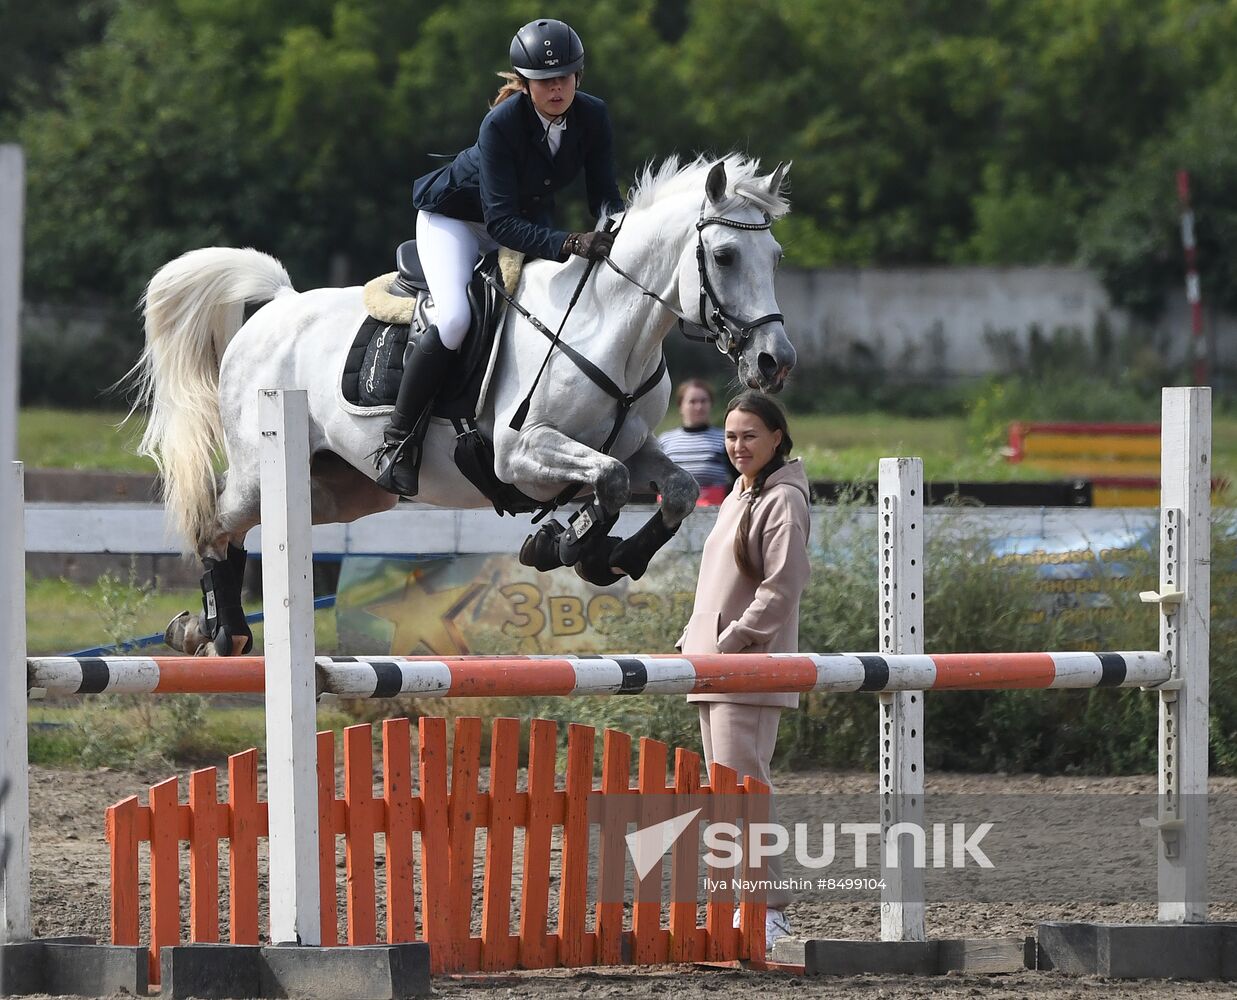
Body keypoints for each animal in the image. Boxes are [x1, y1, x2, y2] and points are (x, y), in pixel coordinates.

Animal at [130, 154, 796, 658]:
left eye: (776, 259)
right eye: (726, 256)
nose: (775, 362)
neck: (607, 323)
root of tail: (278, 305)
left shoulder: (632, 445)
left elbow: (674, 488)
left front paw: (607, 557)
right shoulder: (518, 454)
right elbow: (608, 480)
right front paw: (567, 546)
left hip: (340, 489)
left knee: (251, 522)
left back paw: (205, 628)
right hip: (257, 472)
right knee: (212, 519)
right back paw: (219, 630)